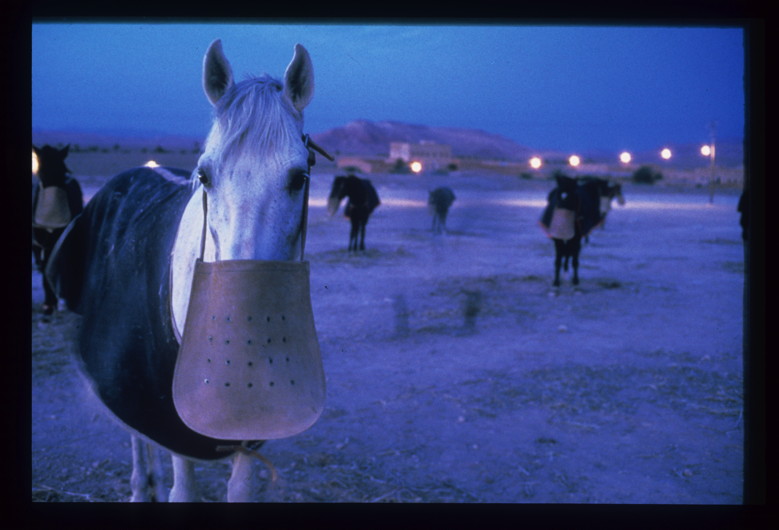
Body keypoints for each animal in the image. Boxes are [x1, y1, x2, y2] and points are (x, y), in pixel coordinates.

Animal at [31, 144, 82, 314]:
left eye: (63, 170)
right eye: (41, 171)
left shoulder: (60, 239)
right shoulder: (41, 242)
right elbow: (45, 269)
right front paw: (48, 303)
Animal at [45, 40, 326, 500]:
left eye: (299, 177)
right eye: (205, 175)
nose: (244, 323)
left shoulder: (251, 425)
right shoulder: (169, 414)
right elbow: (182, 489)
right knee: (138, 436)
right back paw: (141, 487)